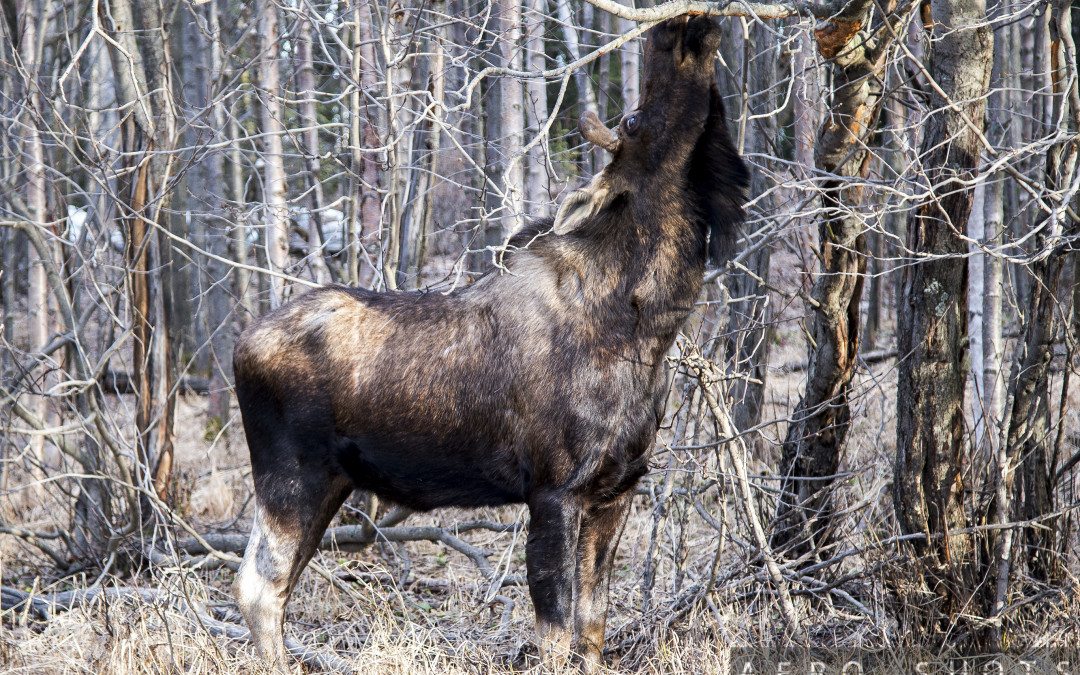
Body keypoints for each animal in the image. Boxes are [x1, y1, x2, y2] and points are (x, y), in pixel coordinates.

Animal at [232, 14, 747, 669]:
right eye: (633, 119)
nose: (680, 25)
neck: (647, 327)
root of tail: (239, 345)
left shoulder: (616, 490)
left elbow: (593, 628)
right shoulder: (554, 490)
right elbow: (554, 634)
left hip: (330, 484)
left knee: (276, 586)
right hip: (290, 476)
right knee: (258, 587)